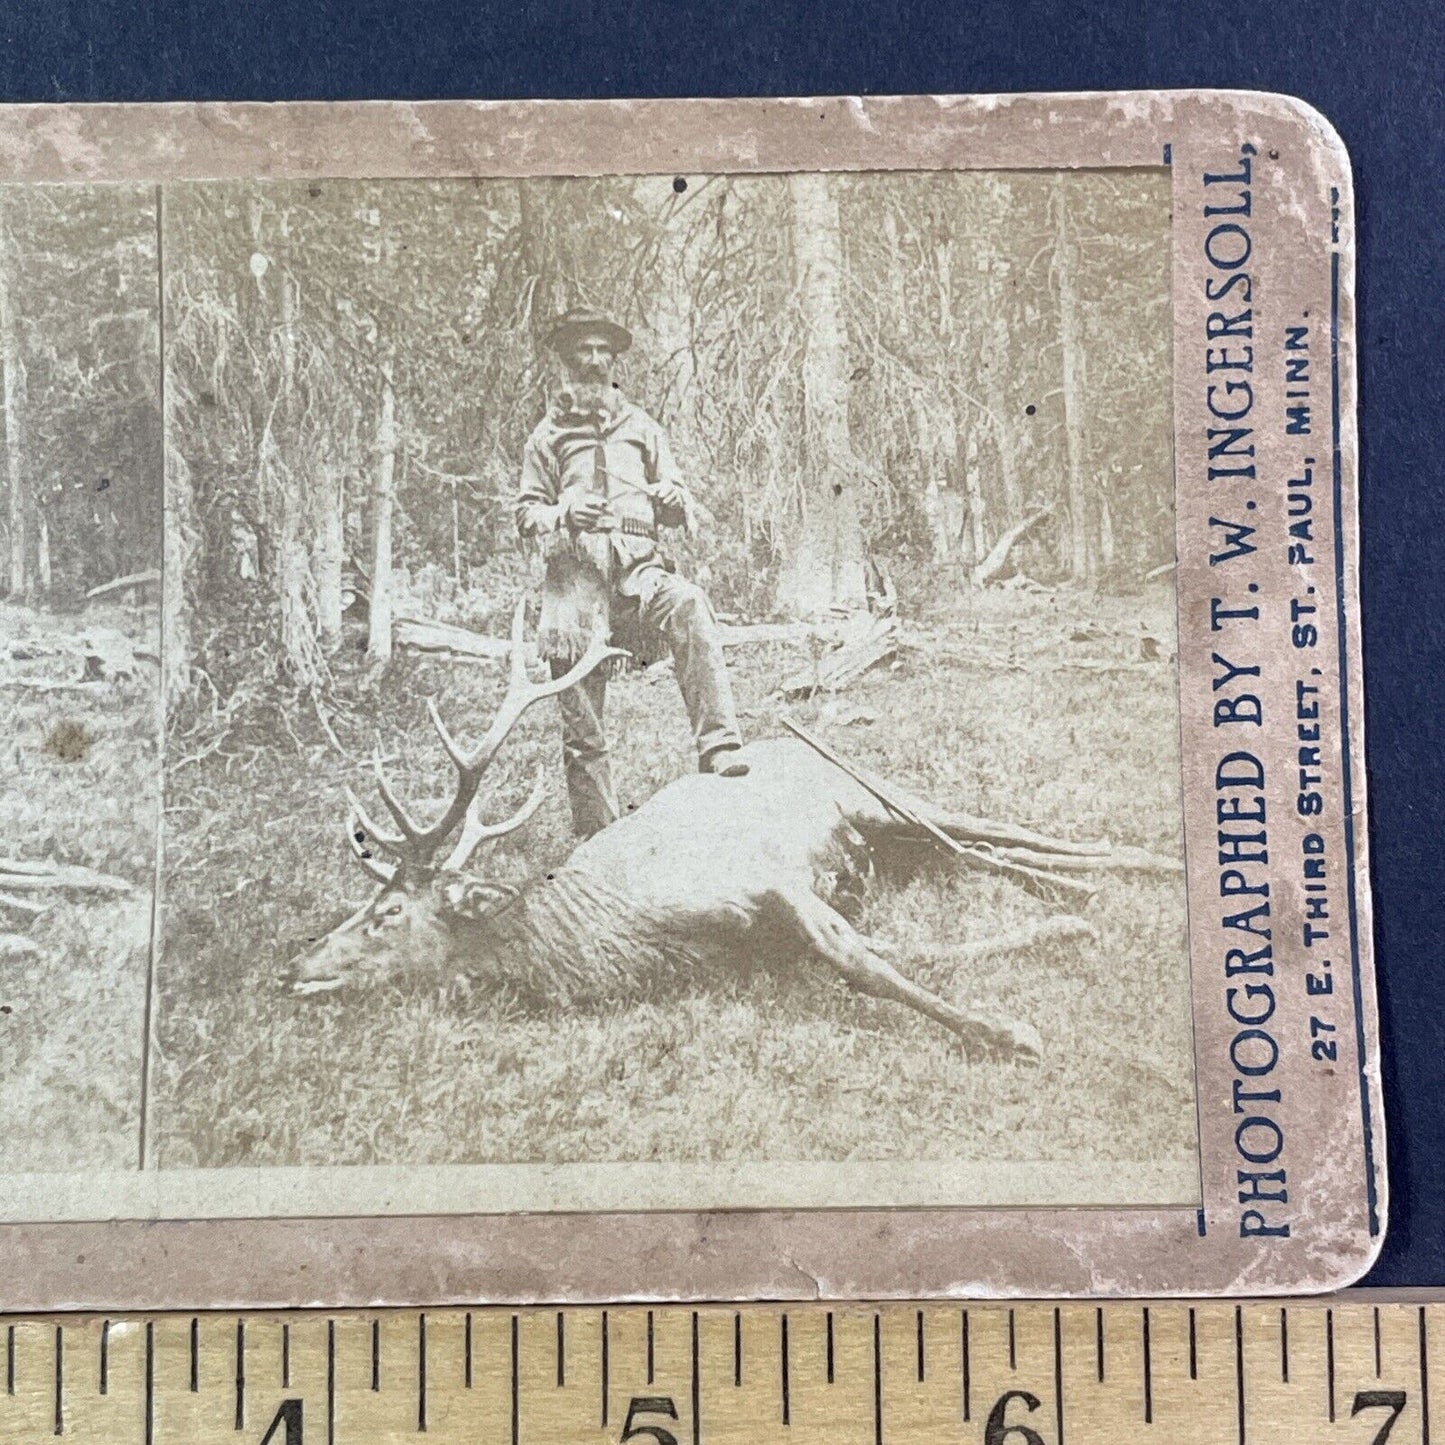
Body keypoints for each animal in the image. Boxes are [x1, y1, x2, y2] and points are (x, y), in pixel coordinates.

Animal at [284, 601, 1173, 1063]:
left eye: (385, 913)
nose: (293, 968)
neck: (621, 938)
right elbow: (895, 953)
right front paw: (1062, 929)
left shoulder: (767, 880)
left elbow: (866, 968)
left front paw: (1008, 1028)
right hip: (896, 837)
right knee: (995, 851)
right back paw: (1081, 887)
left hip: (877, 794)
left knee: (1009, 827)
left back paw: (1146, 858)